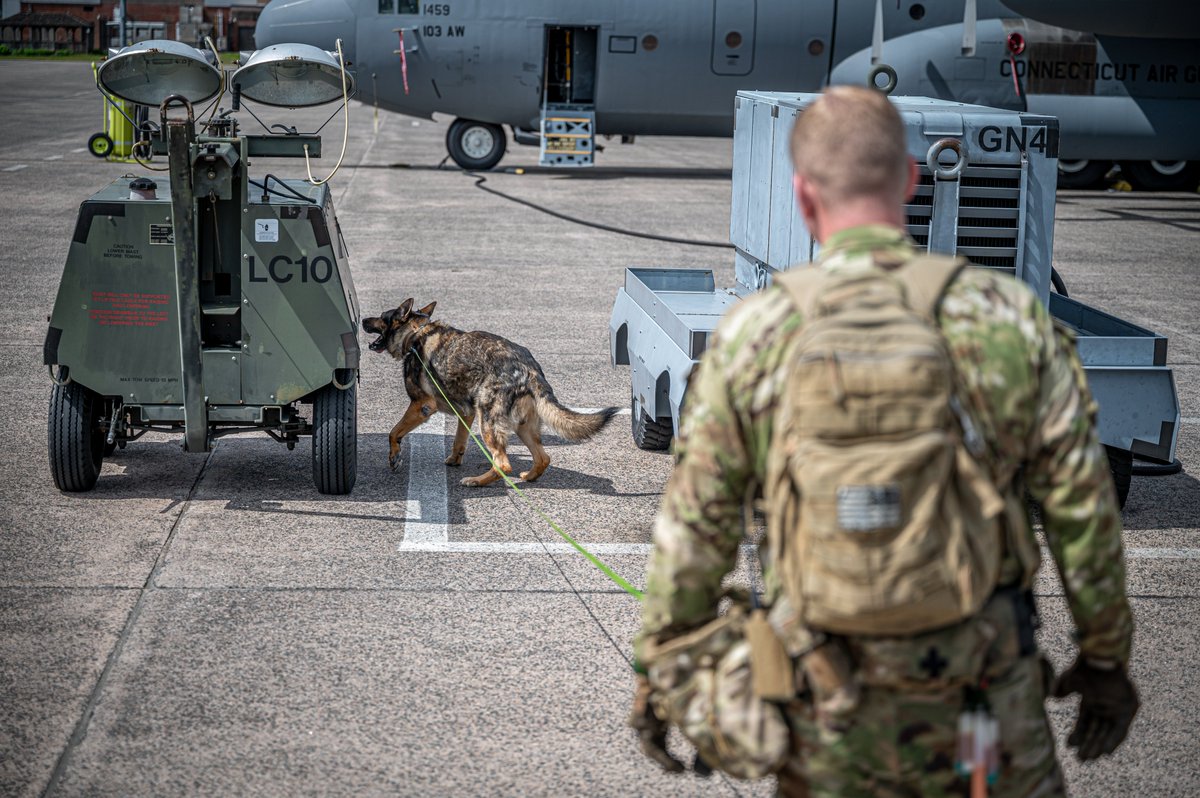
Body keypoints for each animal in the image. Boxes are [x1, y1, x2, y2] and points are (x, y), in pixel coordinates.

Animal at [360, 298, 614, 484]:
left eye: (381, 317)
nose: (362, 319)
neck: (416, 333)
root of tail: (529, 369)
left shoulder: (421, 406)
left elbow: (393, 432)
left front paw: (394, 457)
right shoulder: (466, 413)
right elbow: (459, 441)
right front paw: (454, 459)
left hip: (488, 424)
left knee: (503, 464)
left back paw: (476, 481)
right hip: (521, 427)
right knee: (543, 458)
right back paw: (528, 477)